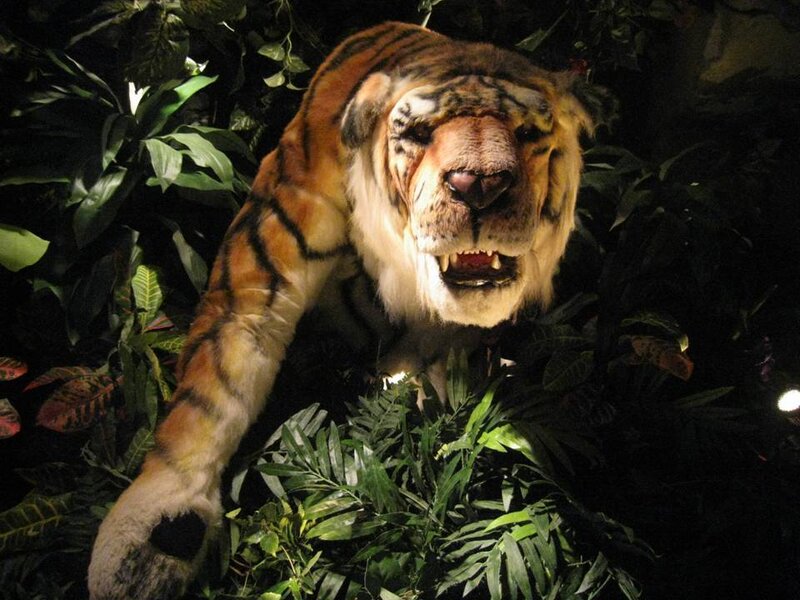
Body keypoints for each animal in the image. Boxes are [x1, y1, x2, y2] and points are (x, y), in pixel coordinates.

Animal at [88, 21, 601, 599]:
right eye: (419, 135)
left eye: (527, 133)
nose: (479, 186)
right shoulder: (260, 274)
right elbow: (211, 390)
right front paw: (150, 536)